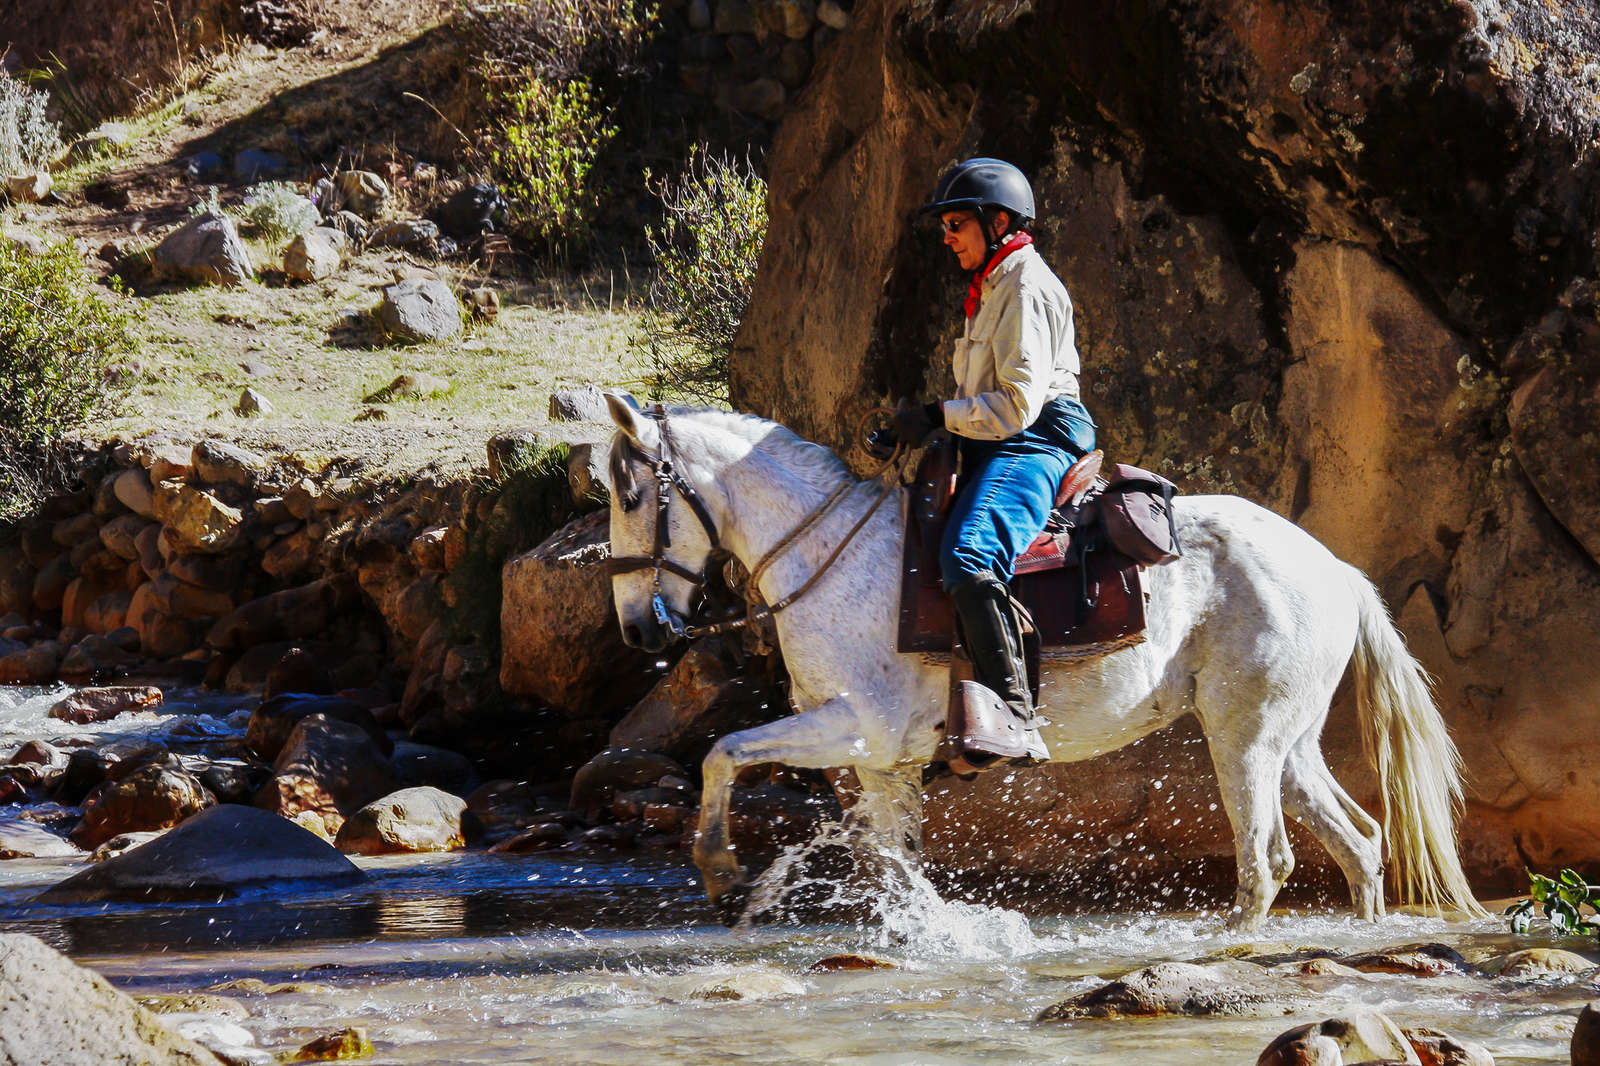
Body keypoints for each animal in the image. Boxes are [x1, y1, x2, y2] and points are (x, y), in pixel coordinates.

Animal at [599, 395, 1484, 931]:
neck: (827, 554)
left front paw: (720, 870)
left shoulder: (855, 729)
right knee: (1360, 842)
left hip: (1246, 740)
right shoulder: (884, 761)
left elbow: (721, 753)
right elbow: (890, 859)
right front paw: (940, 932)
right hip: (1288, 745)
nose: (639, 633)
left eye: (632, 495)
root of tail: (1335, 567)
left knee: (1268, 864)